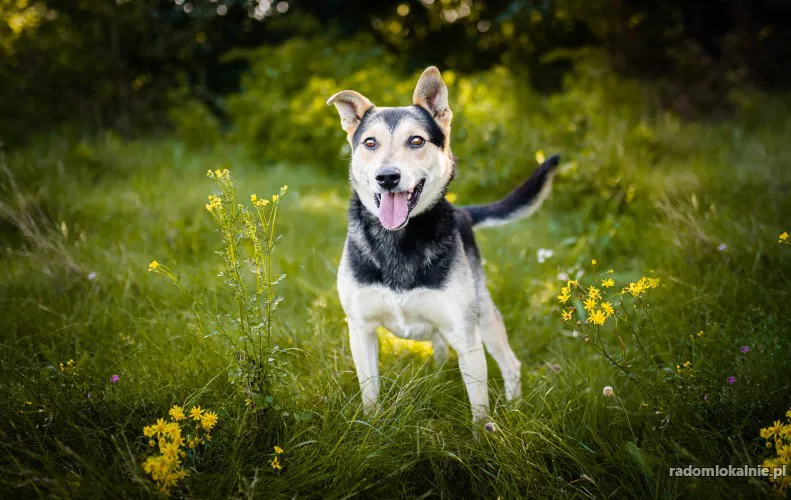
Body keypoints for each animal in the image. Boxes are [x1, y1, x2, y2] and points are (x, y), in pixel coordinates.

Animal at [324, 66, 560, 424]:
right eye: (369, 142)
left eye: (416, 140)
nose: (387, 177)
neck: (400, 238)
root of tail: (463, 212)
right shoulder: (360, 330)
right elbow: (370, 395)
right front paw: (371, 426)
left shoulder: (466, 334)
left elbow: (479, 410)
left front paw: (483, 435)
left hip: (484, 317)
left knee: (511, 364)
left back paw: (515, 409)